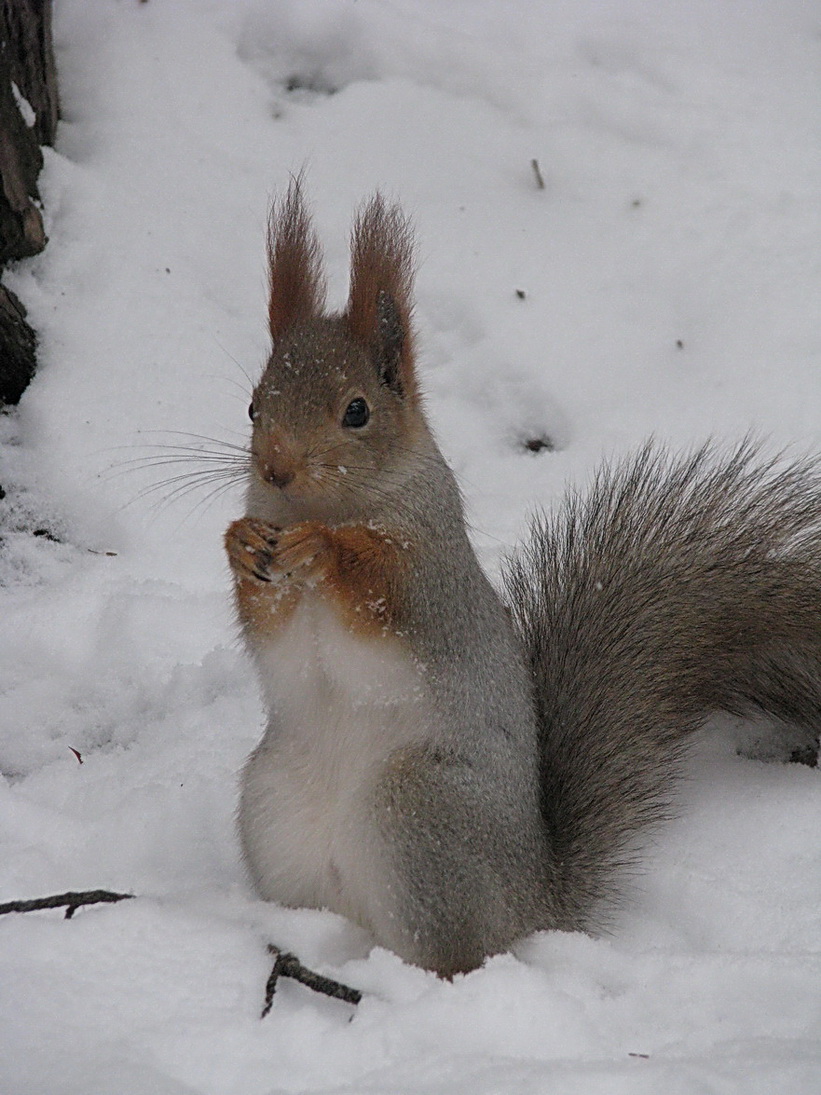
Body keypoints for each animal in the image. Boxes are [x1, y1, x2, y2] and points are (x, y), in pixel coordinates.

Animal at [225, 179, 821, 976]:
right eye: (253, 405)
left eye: (357, 411)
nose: (276, 469)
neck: (327, 505)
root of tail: (535, 899)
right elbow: (270, 630)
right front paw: (239, 542)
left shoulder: (432, 573)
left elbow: (382, 591)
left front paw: (324, 547)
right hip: (273, 804)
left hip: (418, 810)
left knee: (458, 955)